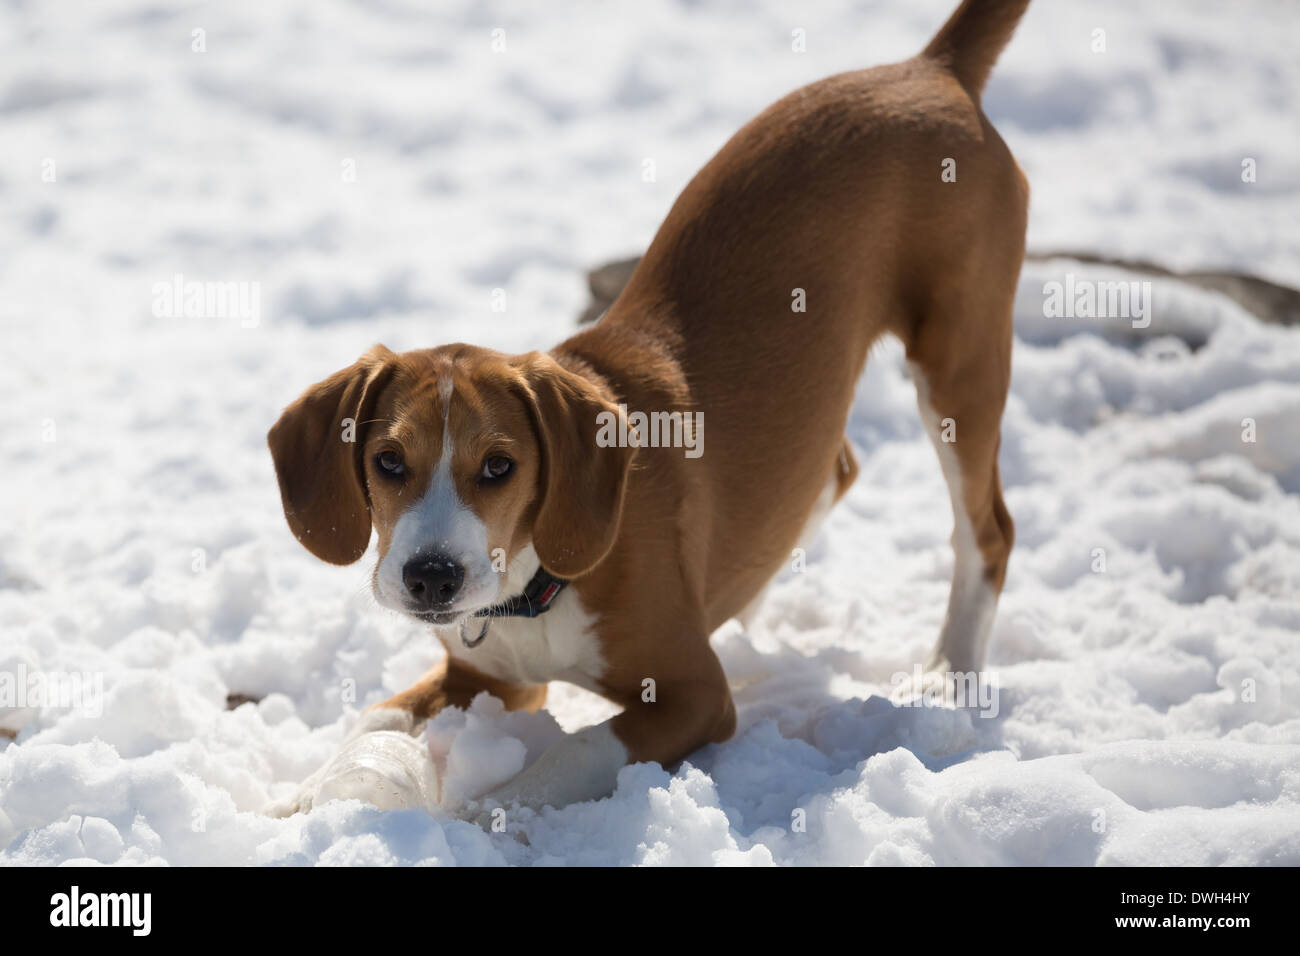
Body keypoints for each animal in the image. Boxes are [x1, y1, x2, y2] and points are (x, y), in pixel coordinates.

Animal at [266, 1, 1024, 822]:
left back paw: (947, 673)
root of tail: (931, 66)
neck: (533, 595)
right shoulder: (485, 677)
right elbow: (375, 715)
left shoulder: (695, 694)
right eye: (387, 461)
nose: (430, 577)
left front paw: (486, 817)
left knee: (987, 528)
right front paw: (307, 794)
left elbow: (579, 748)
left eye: (499, 467)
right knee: (836, 470)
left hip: (959, 358)